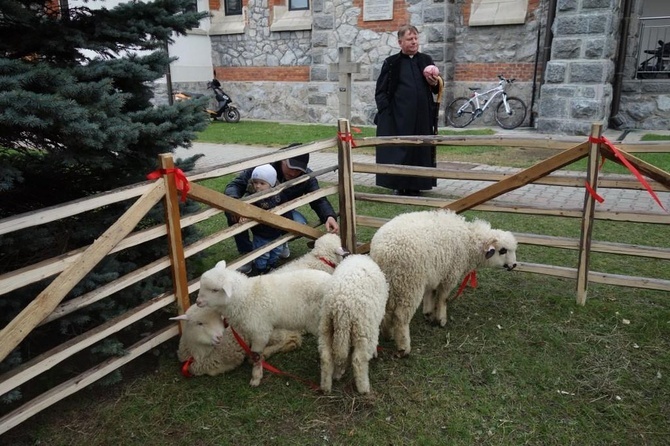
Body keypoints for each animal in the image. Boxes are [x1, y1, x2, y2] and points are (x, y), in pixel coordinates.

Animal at [196, 262, 332, 386]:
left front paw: (256, 377)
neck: (245, 297)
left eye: (215, 290)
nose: (198, 302)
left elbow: (257, 354)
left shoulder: (260, 331)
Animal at [318, 254, 388, 394]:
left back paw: (326, 387)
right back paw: (363, 388)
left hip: (326, 326)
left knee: (326, 357)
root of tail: (341, 307)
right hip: (363, 331)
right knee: (358, 361)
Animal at [368, 208, 520, 356]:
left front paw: (428, 313)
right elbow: (443, 298)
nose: (513, 265)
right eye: (503, 250)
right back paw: (404, 348)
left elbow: (431, 293)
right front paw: (441, 319)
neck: (469, 243)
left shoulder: (435, 273)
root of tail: (384, 252)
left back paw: (388, 334)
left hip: (392, 284)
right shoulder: (450, 275)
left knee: (387, 310)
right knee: (401, 317)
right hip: (409, 284)